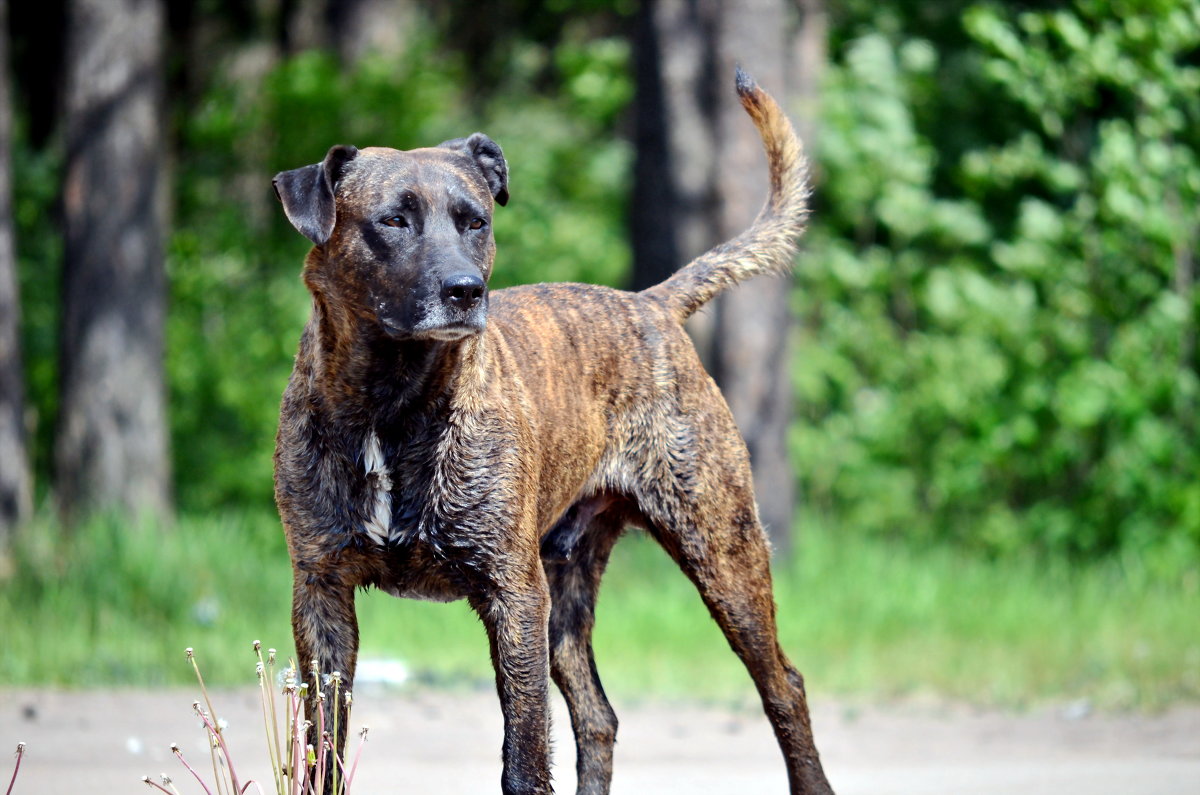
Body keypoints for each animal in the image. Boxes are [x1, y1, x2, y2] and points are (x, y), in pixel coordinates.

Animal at [272, 69, 835, 795]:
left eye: (475, 221)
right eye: (393, 219)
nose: (465, 290)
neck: (393, 403)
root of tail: (652, 303)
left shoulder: (513, 595)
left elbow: (525, 755)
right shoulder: (321, 592)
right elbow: (322, 748)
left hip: (722, 552)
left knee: (784, 687)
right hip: (568, 590)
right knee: (598, 716)